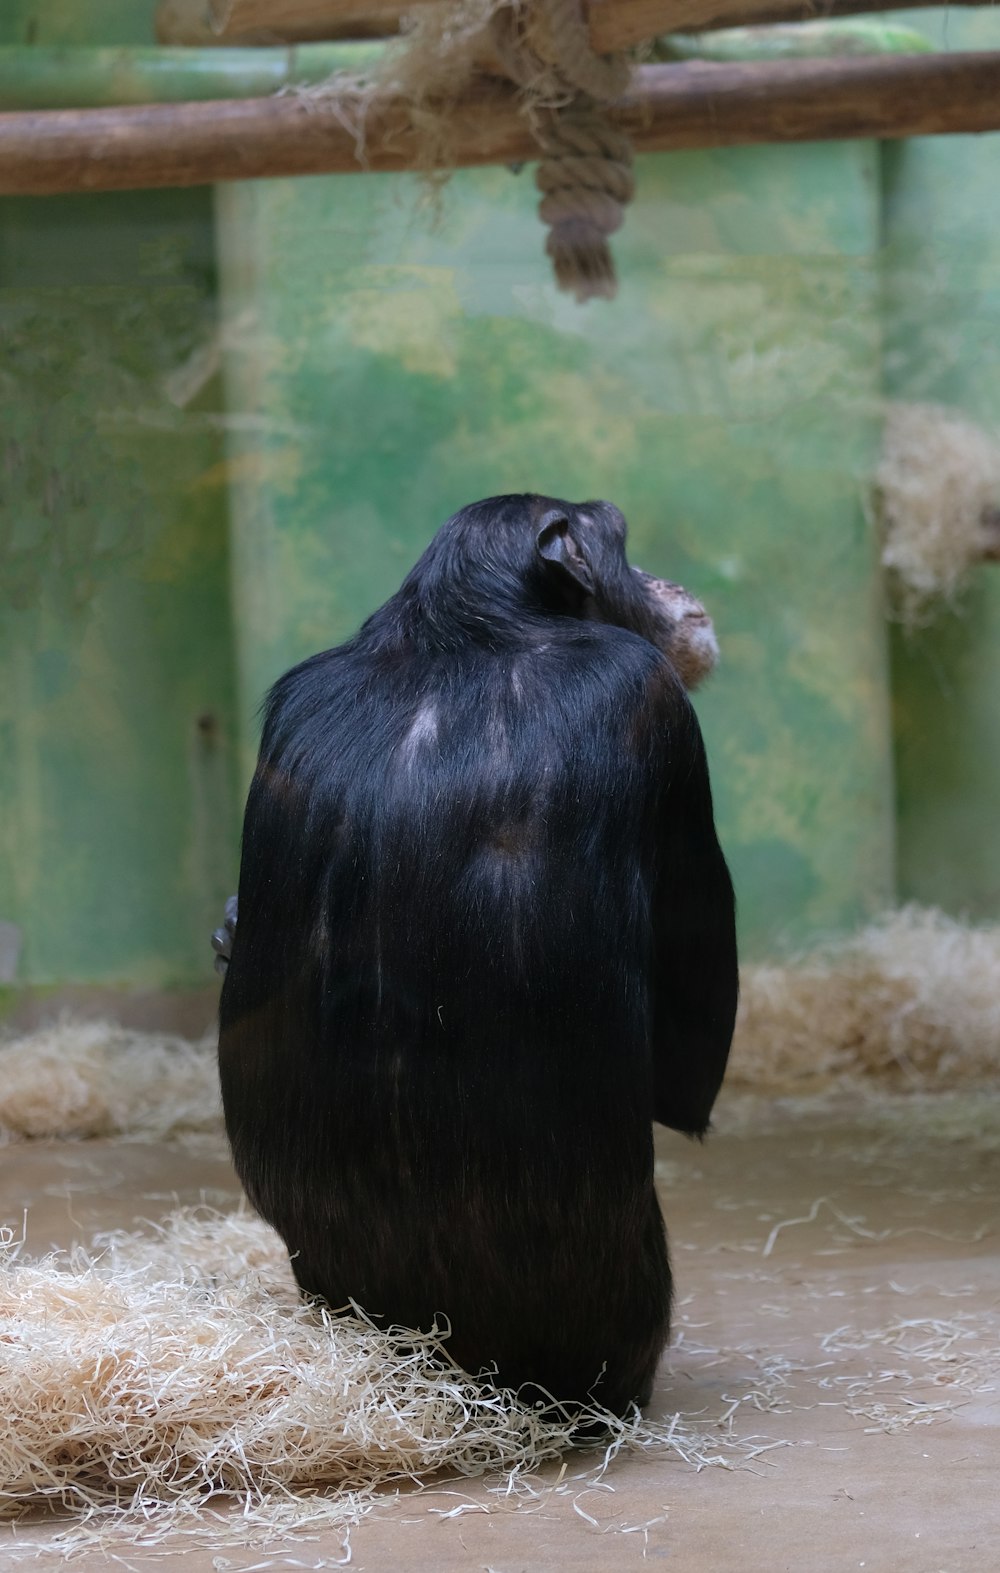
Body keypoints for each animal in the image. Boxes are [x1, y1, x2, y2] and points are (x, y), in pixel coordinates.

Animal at [216, 497, 735, 1421]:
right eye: (622, 539)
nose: (663, 581)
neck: (468, 634)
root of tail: (448, 1366)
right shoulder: (648, 698)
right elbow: (689, 1062)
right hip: (618, 1346)